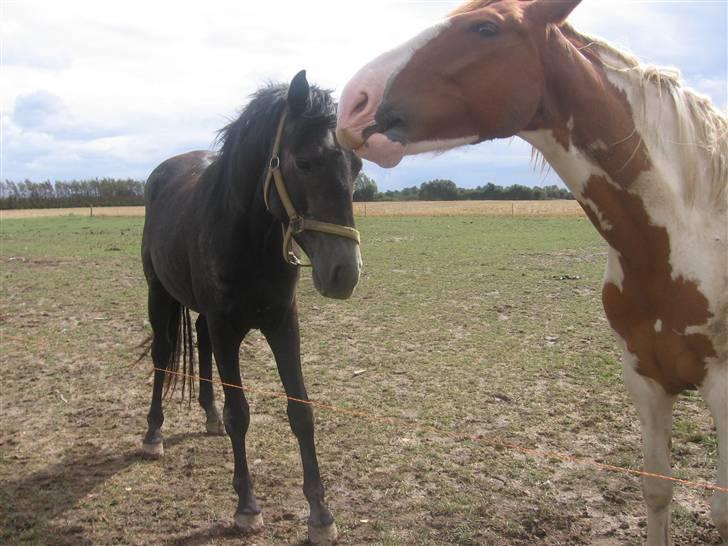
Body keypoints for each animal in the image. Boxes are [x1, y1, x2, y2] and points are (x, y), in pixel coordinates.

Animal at [336, 2, 728, 540]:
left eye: (486, 27)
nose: (352, 104)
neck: (685, 237)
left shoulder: (724, 388)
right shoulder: (644, 379)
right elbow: (656, 489)